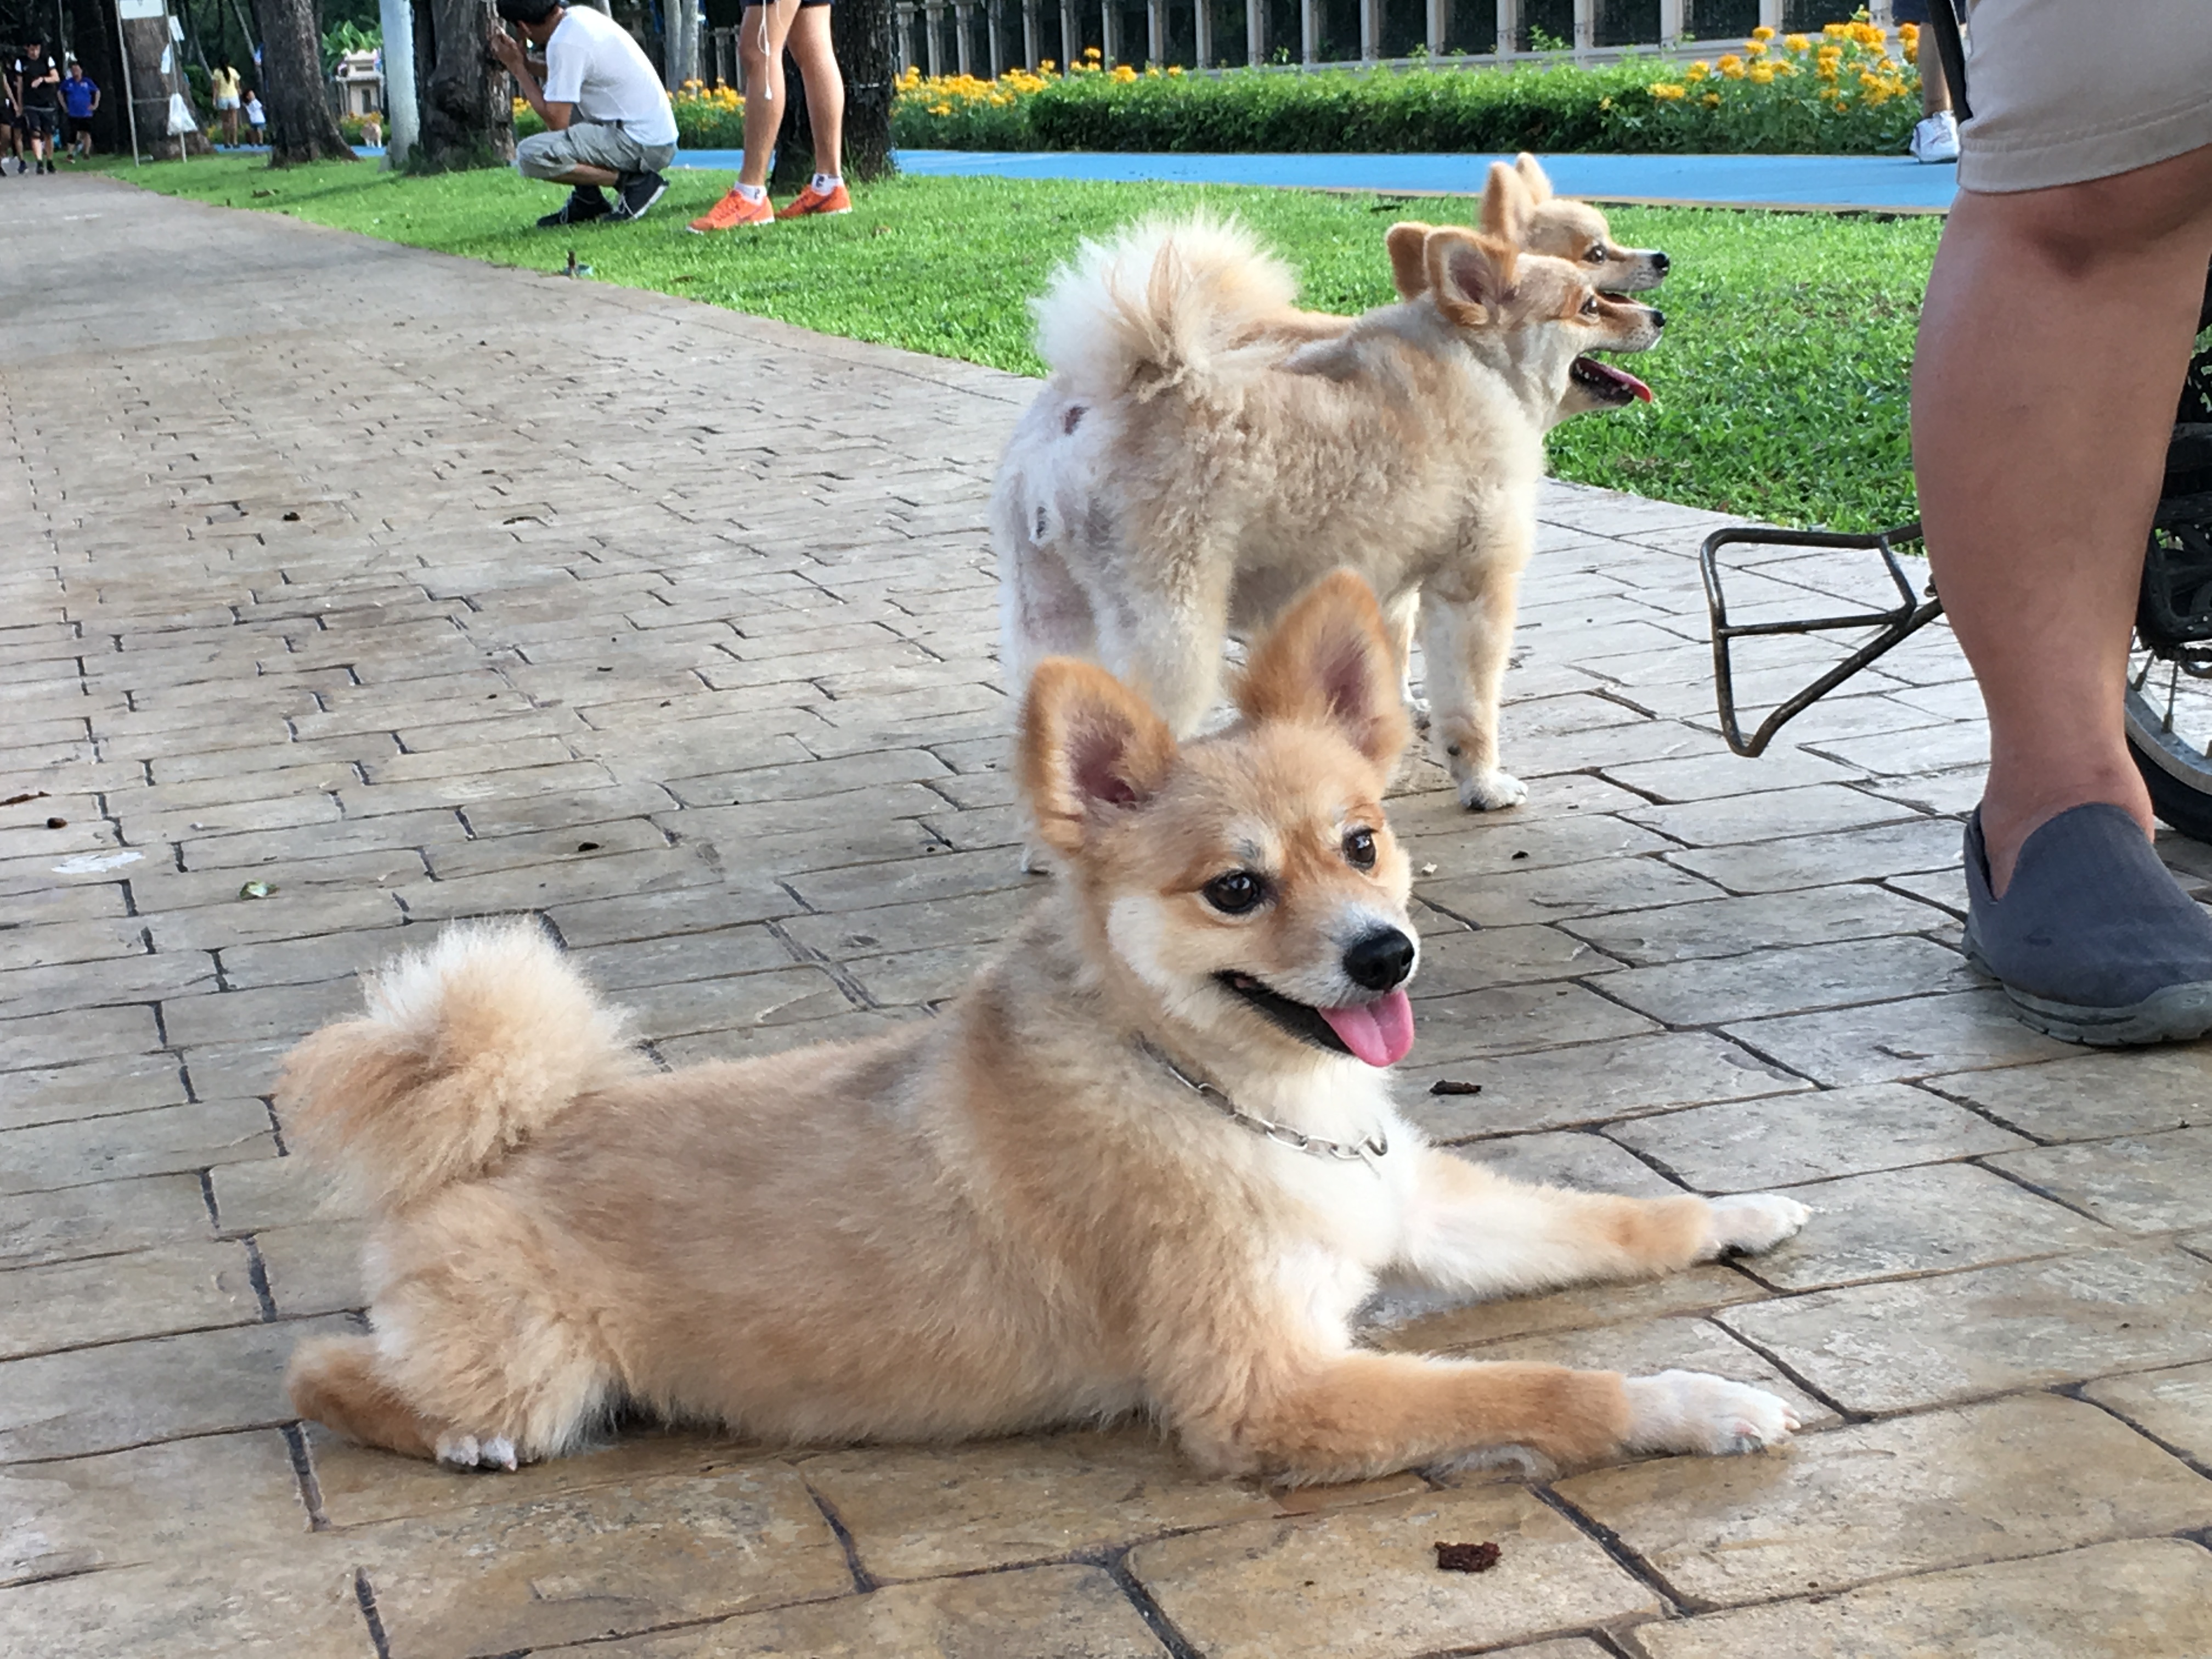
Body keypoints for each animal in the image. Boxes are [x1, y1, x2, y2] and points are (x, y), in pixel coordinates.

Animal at [280, 573, 1807, 1485]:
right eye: (1236, 890)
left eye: (1365, 843)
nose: (1385, 953)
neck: (1221, 1094)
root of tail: (504, 1134)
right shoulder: (1269, 1390)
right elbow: (1546, 1387)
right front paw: (1687, 1404)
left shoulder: (1413, 1212)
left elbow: (1608, 1218)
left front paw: (1730, 1213)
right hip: (529, 1373)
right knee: (322, 1373)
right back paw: (455, 1441)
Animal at [993, 201, 1665, 819]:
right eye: (1590, 304)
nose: (1658, 316)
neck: (1482, 371)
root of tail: (1091, 406)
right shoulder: (1474, 588)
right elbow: (1471, 708)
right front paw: (1482, 783)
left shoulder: (1391, 585)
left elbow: (1387, 665)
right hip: (1171, 621)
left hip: (1050, 611)